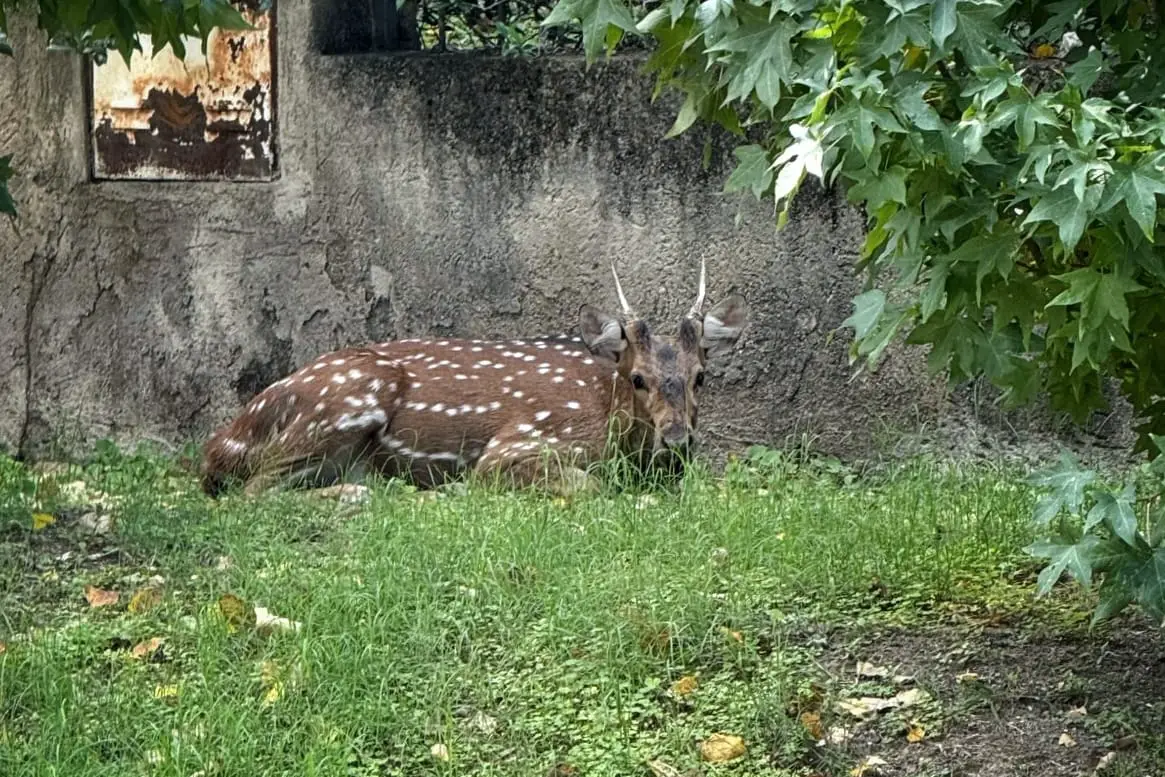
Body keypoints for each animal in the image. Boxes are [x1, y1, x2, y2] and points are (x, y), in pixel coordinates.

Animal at [199, 260, 749, 498]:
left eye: (700, 376)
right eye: (637, 378)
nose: (677, 440)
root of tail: (224, 440)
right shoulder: (518, 443)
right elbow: (589, 485)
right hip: (349, 399)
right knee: (254, 492)